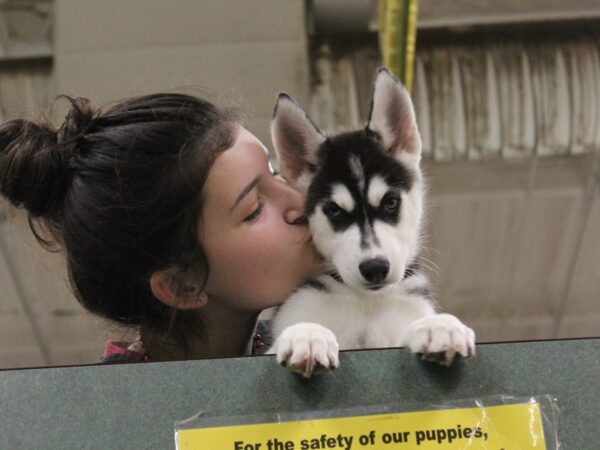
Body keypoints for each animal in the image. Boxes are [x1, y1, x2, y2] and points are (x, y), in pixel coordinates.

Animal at [266, 67, 474, 376]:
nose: (375, 268)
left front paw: (439, 325)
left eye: (390, 202)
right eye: (335, 211)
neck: (366, 302)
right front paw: (308, 333)